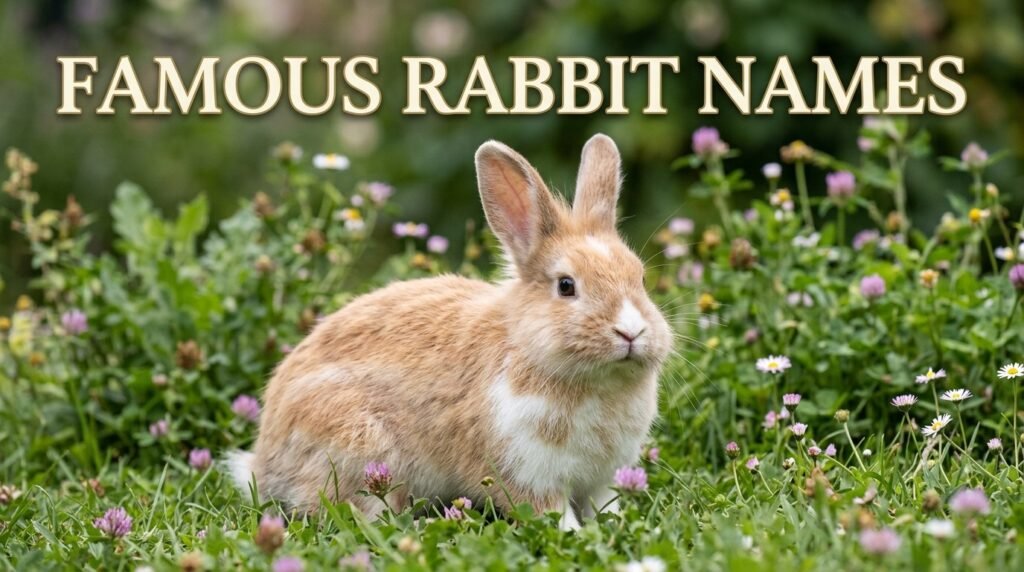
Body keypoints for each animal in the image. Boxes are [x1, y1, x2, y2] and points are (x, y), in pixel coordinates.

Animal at [228, 134, 672, 530]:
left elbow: (605, 506)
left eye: (640, 278)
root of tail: (263, 460)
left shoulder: (603, 480)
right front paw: (576, 536)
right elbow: (553, 514)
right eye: (566, 286)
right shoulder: (528, 474)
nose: (631, 331)